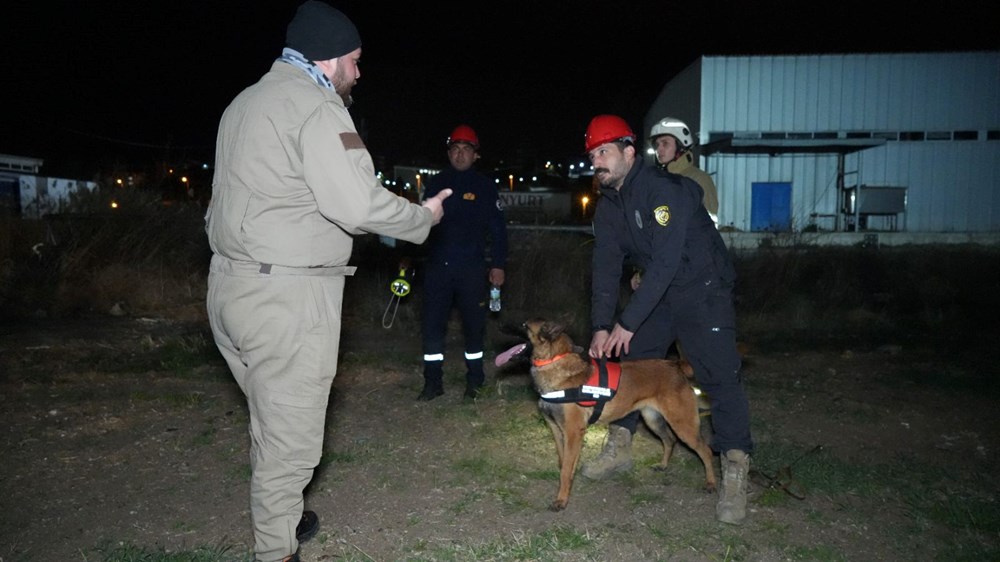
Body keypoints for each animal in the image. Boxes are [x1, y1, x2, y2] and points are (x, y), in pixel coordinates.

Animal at [494, 318, 716, 510]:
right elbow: (563, 462)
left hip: (683, 424)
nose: (499, 322)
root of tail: (675, 365)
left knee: (705, 451)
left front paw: (561, 500)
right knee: (669, 440)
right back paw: (663, 466)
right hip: (653, 420)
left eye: (524, 325)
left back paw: (711, 483)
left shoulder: (573, 432)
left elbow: (565, 470)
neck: (554, 361)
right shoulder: (556, 430)